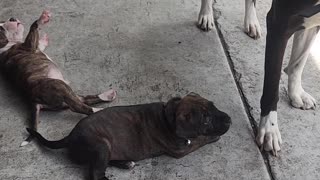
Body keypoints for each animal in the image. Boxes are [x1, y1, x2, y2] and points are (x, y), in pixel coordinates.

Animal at [0, 10, 117, 146]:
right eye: (1, 28)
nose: (12, 18)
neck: (7, 44)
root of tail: (34, 101)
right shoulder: (28, 45)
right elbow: (33, 28)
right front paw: (42, 18)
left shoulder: (32, 45)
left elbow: (38, 41)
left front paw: (44, 39)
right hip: (58, 86)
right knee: (80, 107)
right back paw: (100, 111)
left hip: (65, 93)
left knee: (83, 100)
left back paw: (108, 95)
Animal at [27, 93, 231, 180]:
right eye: (206, 119)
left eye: (213, 105)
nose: (229, 120)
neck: (169, 117)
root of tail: (70, 137)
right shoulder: (180, 149)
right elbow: (198, 140)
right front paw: (213, 137)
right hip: (101, 145)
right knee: (95, 173)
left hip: (106, 150)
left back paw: (126, 163)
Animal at [199, 0, 318, 156]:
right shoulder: (280, 24)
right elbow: (272, 87)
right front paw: (269, 129)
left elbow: (298, 64)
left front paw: (296, 93)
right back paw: (206, 14)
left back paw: (251, 22)